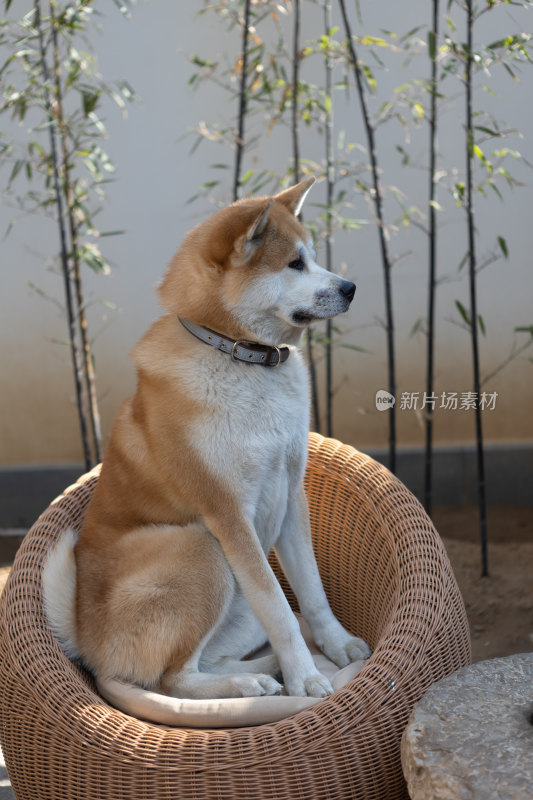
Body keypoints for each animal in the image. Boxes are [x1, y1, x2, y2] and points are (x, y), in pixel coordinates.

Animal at [42, 177, 370, 700]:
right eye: (294, 263)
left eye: (315, 257)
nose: (351, 288)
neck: (239, 355)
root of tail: (87, 639)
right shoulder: (229, 515)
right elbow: (282, 611)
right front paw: (307, 679)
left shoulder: (291, 492)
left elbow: (311, 593)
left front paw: (335, 647)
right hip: (202, 549)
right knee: (172, 680)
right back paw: (250, 682)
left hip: (237, 606)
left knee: (205, 661)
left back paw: (266, 673)